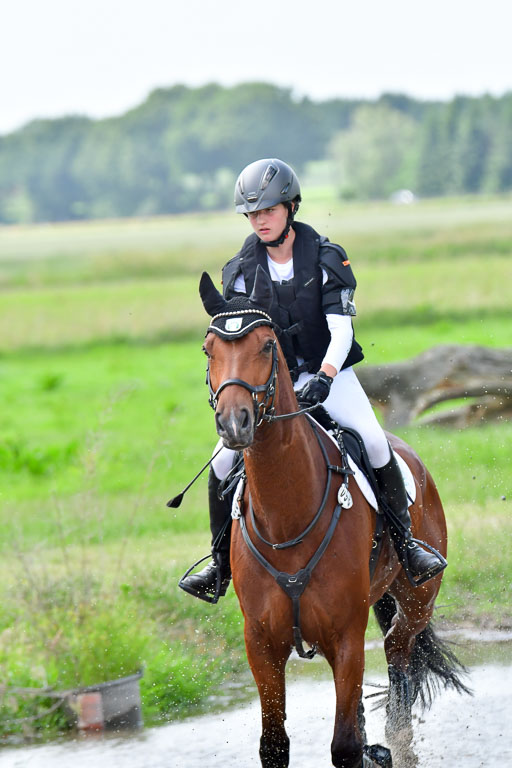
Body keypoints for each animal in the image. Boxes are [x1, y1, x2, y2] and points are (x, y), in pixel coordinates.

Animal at [198, 266, 469, 768]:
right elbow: (274, 744)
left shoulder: (345, 637)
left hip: (415, 603)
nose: (234, 423)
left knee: (398, 661)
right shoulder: (261, 644)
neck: (286, 517)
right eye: (209, 349)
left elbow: (344, 745)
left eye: (267, 345)